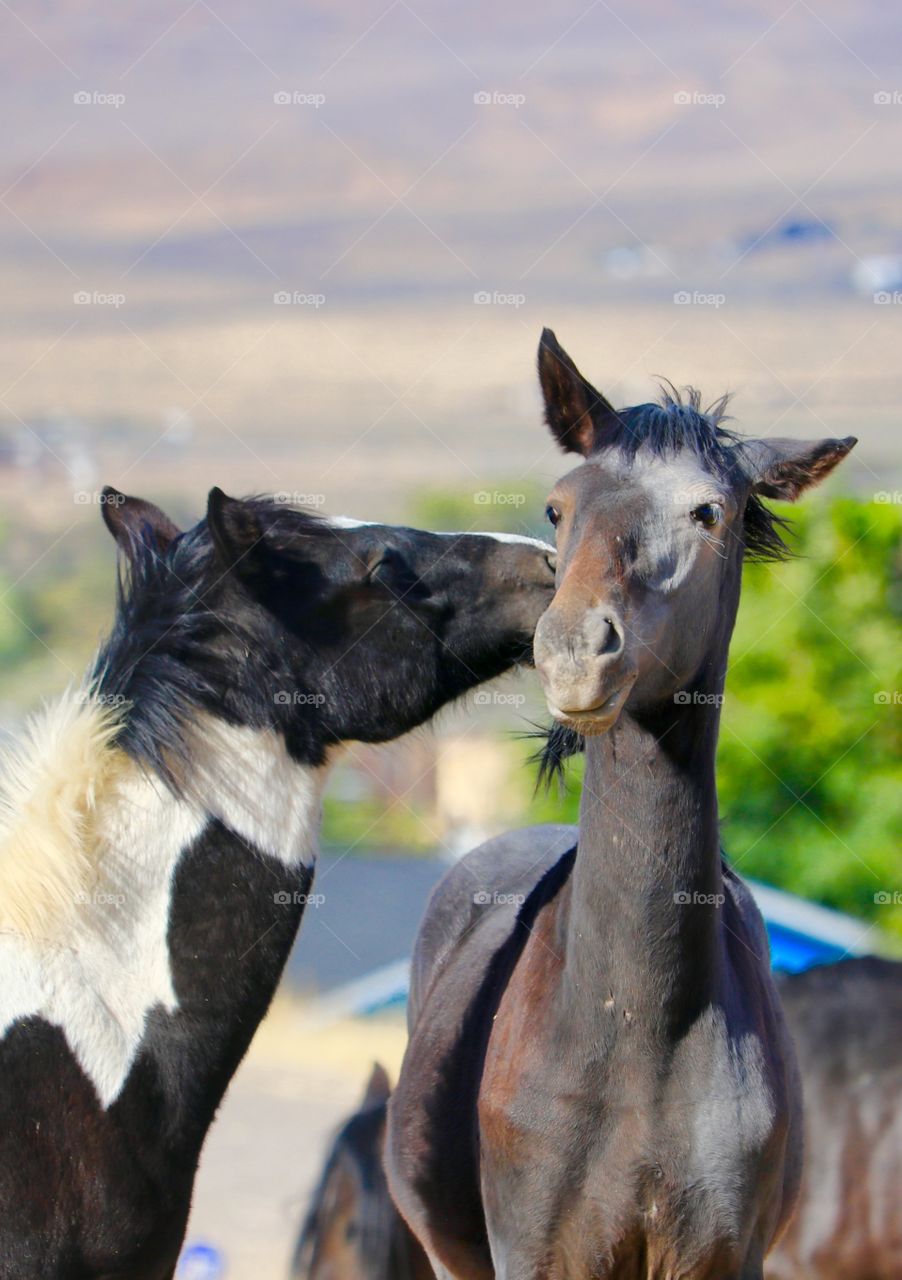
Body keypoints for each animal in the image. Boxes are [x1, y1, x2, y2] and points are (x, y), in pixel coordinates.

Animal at [386, 332, 849, 1280]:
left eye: (709, 512)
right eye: (559, 508)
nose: (572, 653)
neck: (635, 1031)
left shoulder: (721, 1256)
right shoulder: (537, 1256)